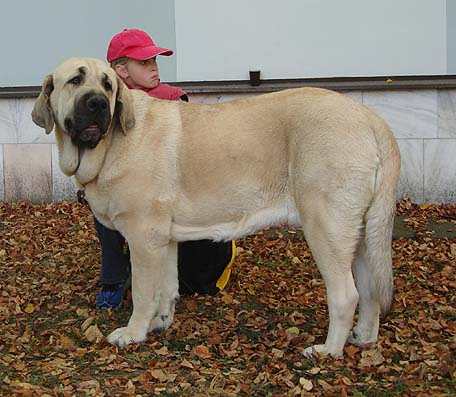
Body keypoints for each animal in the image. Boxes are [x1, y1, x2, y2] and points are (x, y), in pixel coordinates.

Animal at [32, 57, 400, 358]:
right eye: (75, 81)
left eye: (107, 84)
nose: (97, 103)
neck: (112, 143)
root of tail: (371, 118)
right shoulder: (163, 239)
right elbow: (166, 288)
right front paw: (160, 322)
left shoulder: (143, 239)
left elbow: (143, 291)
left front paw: (134, 333)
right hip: (361, 233)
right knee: (370, 290)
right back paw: (363, 337)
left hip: (326, 228)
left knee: (346, 294)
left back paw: (328, 351)